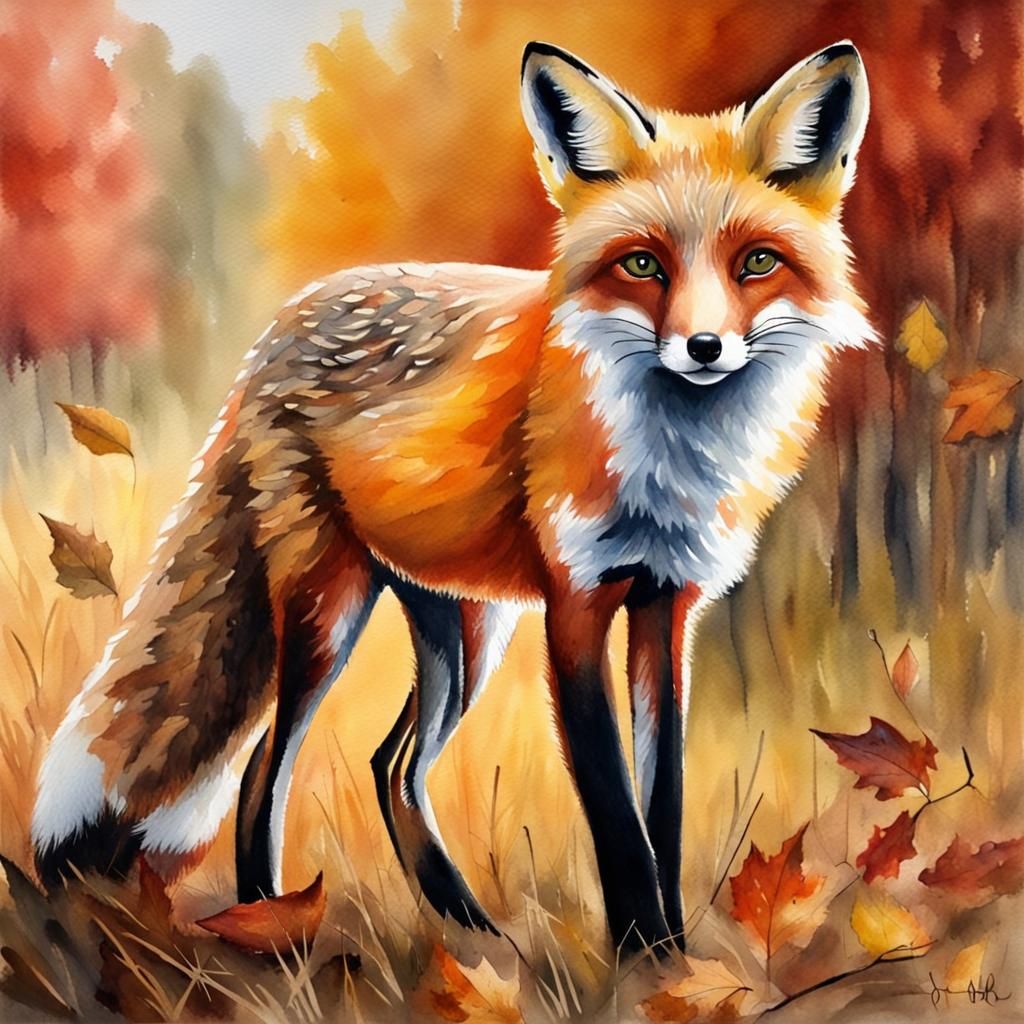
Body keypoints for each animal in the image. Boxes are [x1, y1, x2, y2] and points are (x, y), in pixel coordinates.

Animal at [32, 40, 873, 954]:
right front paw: (644, 957)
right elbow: (618, 816)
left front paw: (676, 955)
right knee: (264, 767)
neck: (672, 465)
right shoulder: (576, 604)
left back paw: (469, 929)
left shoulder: (666, 609)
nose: (705, 347)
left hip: (465, 631)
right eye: (643, 264)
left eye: (756, 261)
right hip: (330, 610)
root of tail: (277, 331)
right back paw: (271, 928)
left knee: (391, 767)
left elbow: (665, 807)